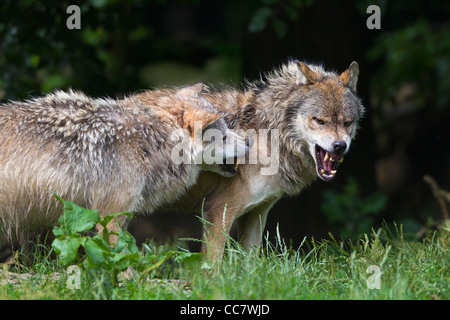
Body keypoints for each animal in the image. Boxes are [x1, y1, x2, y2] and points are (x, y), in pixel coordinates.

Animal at [0, 84, 250, 251]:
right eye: (223, 136)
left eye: (229, 129)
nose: (249, 142)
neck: (152, 139)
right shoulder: (109, 218)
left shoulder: (124, 214)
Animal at [162, 59, 366, 260]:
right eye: (320, 121)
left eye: (347, 123)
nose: (340, 146)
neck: (270, 137)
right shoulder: (218, 210)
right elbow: (213, 263)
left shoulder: (257, 213)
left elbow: (251, 262)